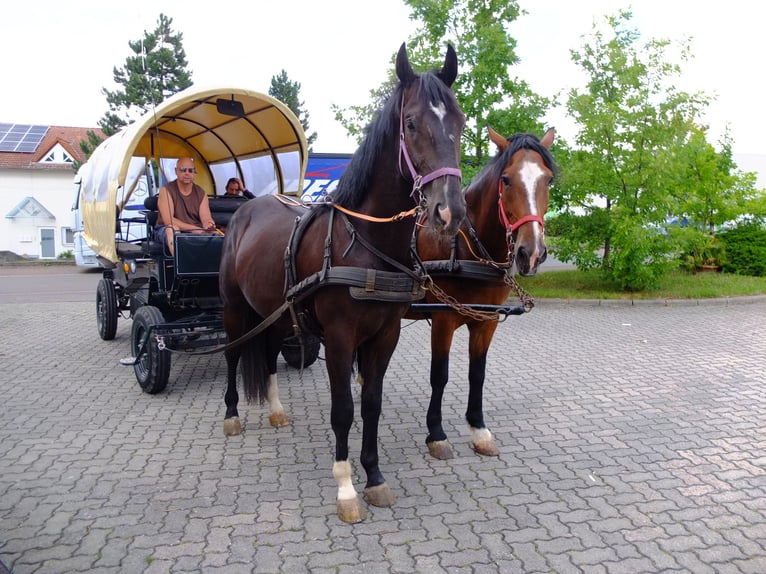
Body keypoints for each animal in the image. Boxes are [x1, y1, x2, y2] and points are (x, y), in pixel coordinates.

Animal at [218, 42, 468, 524]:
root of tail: (244, 210)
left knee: (270, 351)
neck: (366, 242)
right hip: (235, 309)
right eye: (411, 123)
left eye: (460, 121)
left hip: (277, 312)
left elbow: (371, 404)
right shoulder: (338, 336)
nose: (450, 212)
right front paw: (347, 487)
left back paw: (275, 410)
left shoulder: (385, 334)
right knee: (234, 354)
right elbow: (343, 410)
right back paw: (232, 415)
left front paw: (374, 477)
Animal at [412, 128, 556, 462]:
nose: (531, 253)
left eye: (548, 180)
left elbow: (477, 374)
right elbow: (439, 375)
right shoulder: (443, 319)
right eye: (506, 179)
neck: (467, 248)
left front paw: (478, 429)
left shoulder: (487, 320)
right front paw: (436, 433)